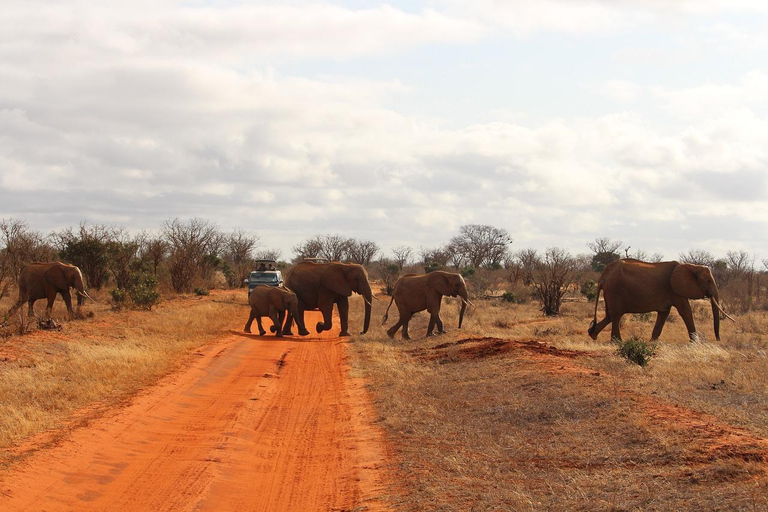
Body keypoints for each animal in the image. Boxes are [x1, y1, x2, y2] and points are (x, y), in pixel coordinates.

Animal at [588, 258, 732, 342]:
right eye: (708, 281)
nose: (718, 340)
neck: (691, 266)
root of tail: (603, 277)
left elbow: (664, 313)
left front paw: (653, 342)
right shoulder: (674, 289)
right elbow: (686, 311)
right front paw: (695, 343)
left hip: (611, 292)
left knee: (610, 315)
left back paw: (593, 334)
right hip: (615, 290)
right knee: (616, 315)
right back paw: (617, 342)